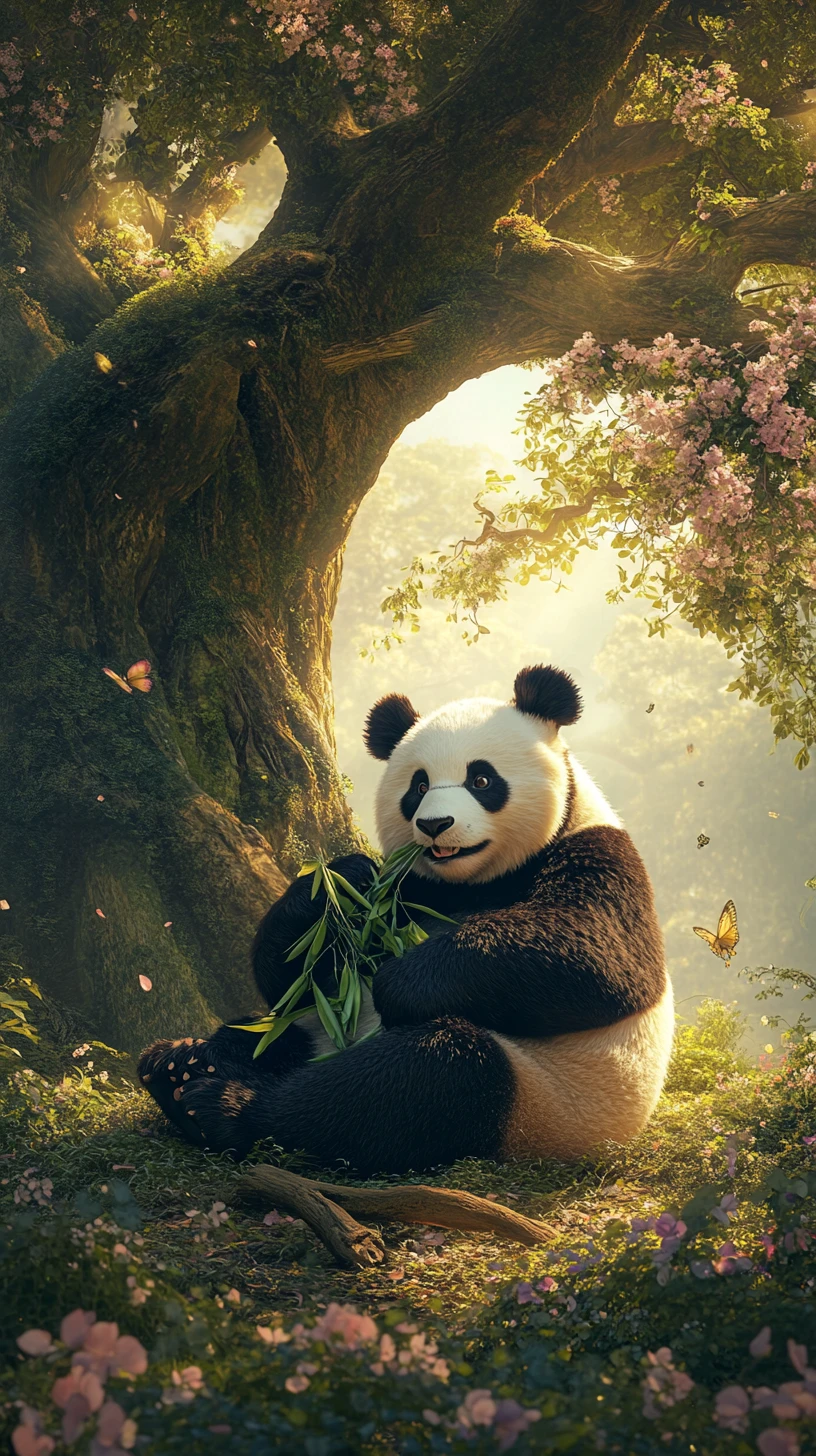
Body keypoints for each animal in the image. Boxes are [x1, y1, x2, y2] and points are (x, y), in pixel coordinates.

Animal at [138, 665, 674, 1176]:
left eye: (481, 780)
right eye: (418, 786)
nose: (436, 825)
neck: (474, 883)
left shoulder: (595, 853)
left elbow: (596, 958)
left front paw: (399, 985)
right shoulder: (408, 889)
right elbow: (298, 975)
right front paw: (340, 881)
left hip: (539, 1098)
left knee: (416, 1081)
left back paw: (218, 1104)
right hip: (319, 1030)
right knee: (268, 1032)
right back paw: (180, 1061)